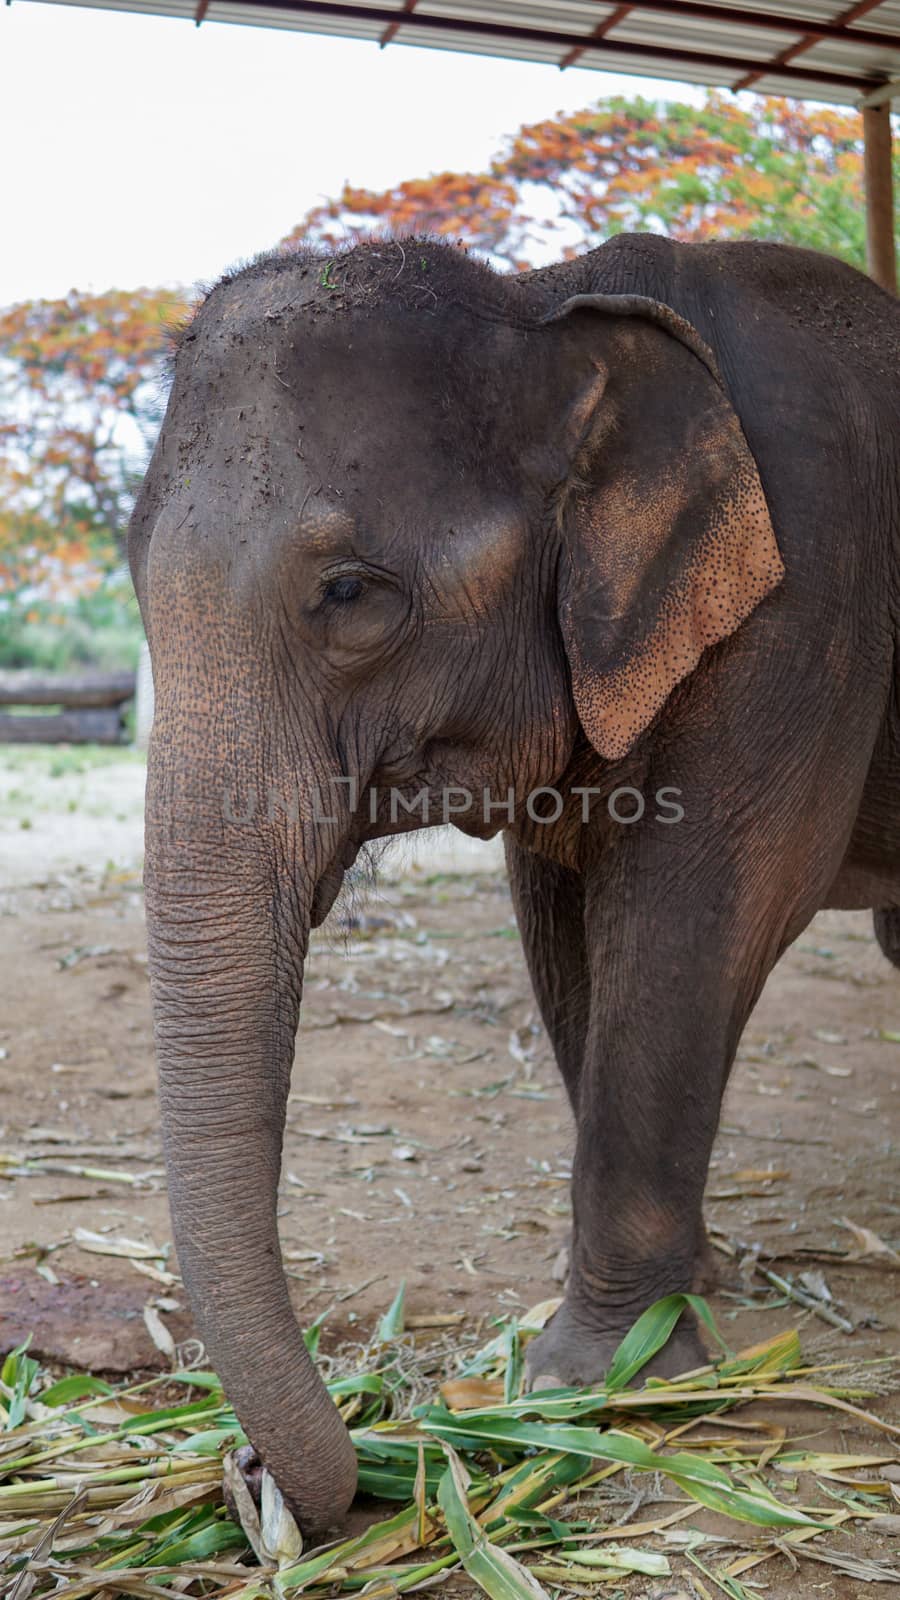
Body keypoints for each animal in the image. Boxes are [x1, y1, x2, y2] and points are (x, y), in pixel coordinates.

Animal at [129, 228, 896, 1536]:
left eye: (350, 593)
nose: (270, 1487)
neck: (546, 306)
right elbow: (561, 938)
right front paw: (670, 1307)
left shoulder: (807, 606)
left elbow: (701, 921)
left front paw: (597, 1380)